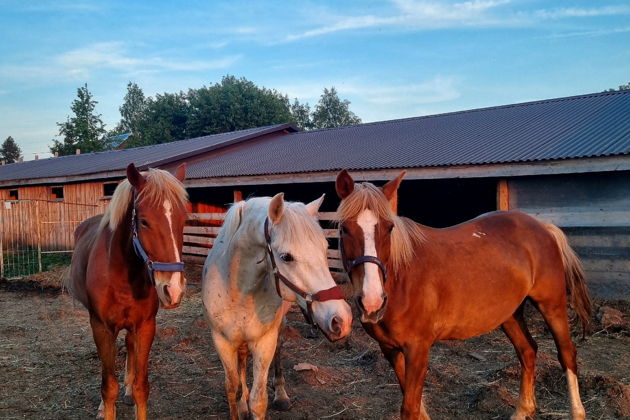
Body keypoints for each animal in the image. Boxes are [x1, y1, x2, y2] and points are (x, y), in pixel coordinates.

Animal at [67, 164, 190, 420]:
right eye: (143, 222)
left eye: (183, 219)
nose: (173, 289)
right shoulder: (102, 328)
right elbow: (108, 387)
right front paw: (106, 407)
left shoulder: (145, 326)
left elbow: (141, 387)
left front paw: (132, 391)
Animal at [202, 194, 354, 420]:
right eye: (286, 257)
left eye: (326, 248)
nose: (341, 319)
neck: (238, 291)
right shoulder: (222, 341)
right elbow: (232, 388)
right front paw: (240, 404)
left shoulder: (264, 341)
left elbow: (259, 400)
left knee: (279, 352)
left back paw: (281, 395)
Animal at [338, 171, 596, 420]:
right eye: (344, 229)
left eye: (389, 228)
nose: (372, 303)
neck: (402, 280)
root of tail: (543, 227)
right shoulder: (390, 350)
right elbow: (416, 406)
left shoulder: (418, 350)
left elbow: (410, 409)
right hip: (510, 314)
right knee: (528, 351)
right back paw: (523, 410)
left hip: (552, 305)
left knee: (567, 354)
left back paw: (577, 413)